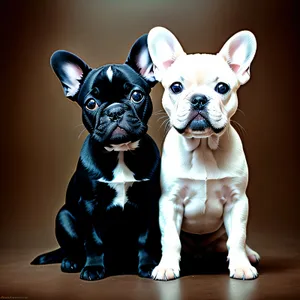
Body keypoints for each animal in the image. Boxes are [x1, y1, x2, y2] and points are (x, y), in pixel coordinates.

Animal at [31, 34, 162, 282]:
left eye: (137, 95)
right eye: (91, 103)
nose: (115, 111)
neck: (120, 153)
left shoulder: (150, 202)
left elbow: (146, 238)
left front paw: (149, 266)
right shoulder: (89, 205)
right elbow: (93, 240)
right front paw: (92, 267)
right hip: (63, 218)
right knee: (73, 247)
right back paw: (71, 261)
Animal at [148, 27, 260, 280]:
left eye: (222, 88)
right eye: (176, 87)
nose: (199, 99)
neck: (203, 147)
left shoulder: (237, 201)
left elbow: (238, 237)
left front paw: (240, 265)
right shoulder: (170, 202)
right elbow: (171, 238)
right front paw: (167, 266)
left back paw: (249, 255)